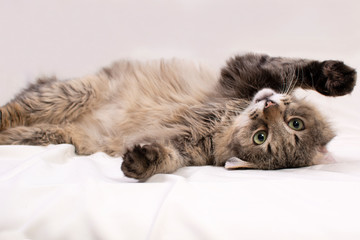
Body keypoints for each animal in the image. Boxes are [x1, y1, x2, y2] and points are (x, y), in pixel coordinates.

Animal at [0, 53, 356, 179]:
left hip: (49, 134)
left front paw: (140, 162)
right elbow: (298, 68)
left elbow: (166, 157)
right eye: (296, 123)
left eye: (261, 138)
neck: (222, 122)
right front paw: (340, 77)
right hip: (69, 94)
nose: (268, 108)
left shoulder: (182, 146)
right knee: (8, 111)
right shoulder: (247, 72)